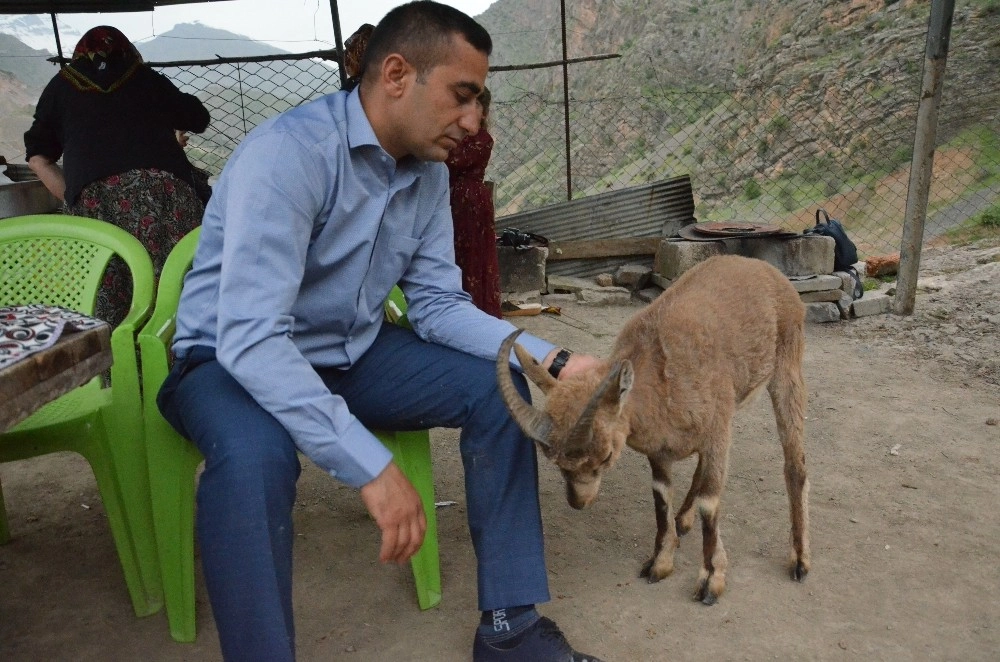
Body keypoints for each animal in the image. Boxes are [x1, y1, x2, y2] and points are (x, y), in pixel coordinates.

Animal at [496, 254, 808, 608]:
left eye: (606, 456)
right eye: (555, 461)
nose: (578, 502)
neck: (661, 381)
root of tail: (764, 269)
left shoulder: (717, 431)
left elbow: (710, 503)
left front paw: (710, 581)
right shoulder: (661, 451)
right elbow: (661, 498)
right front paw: (659, 563)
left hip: (787, 366)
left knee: (795, 463)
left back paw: (799, 559)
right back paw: (683, 519)